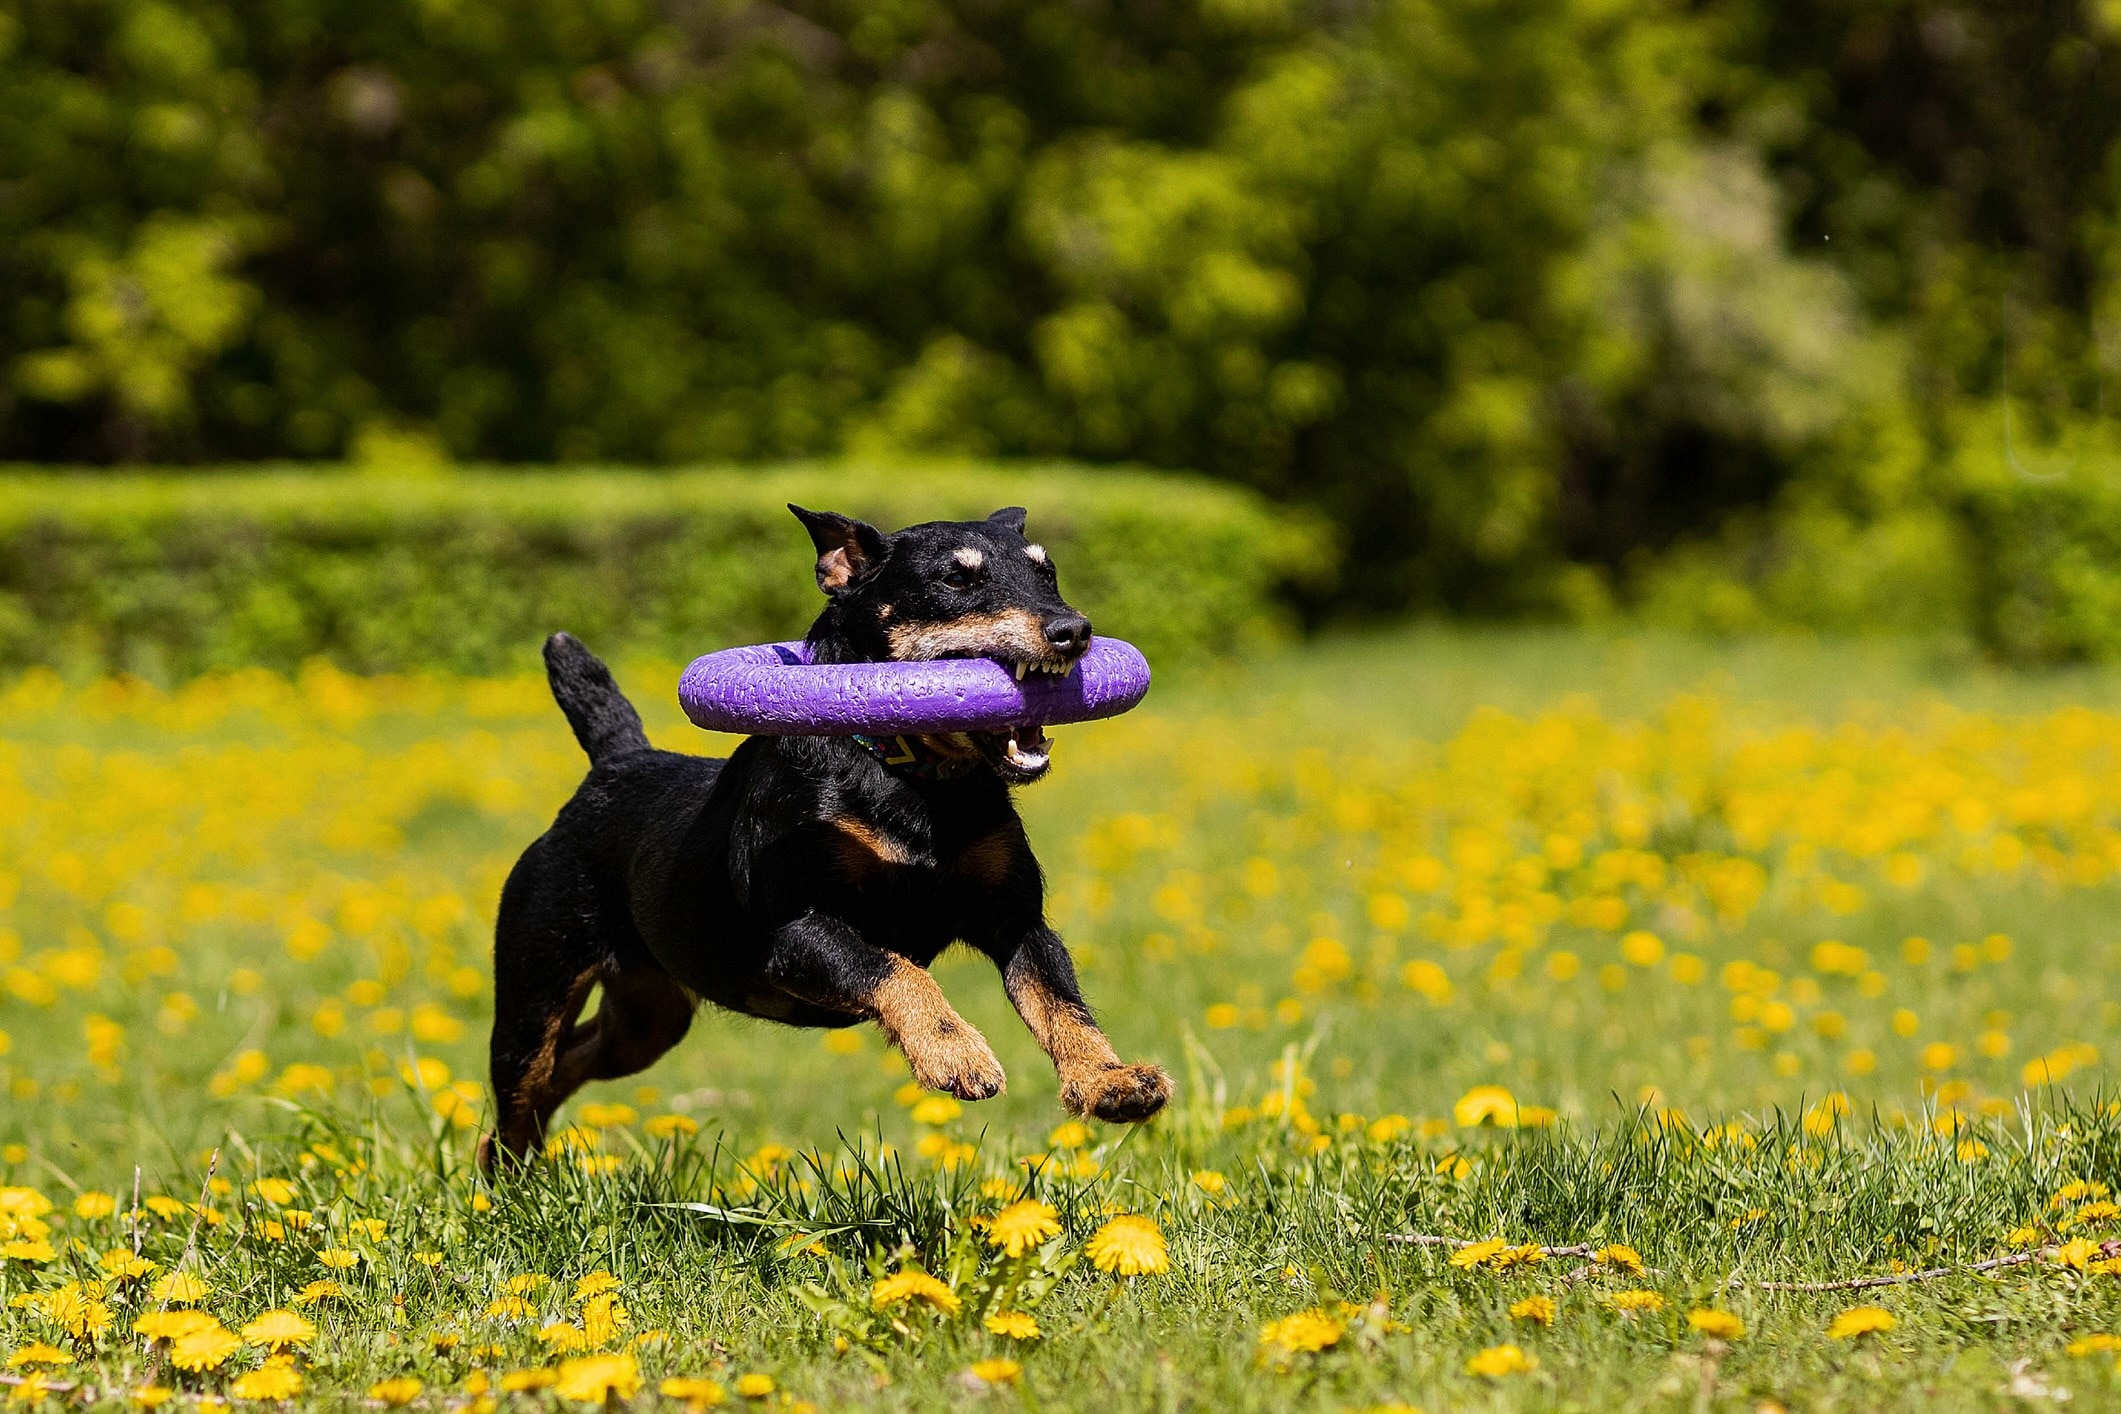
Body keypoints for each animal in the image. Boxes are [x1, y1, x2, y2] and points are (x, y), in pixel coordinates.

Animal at [477, 502, 1179, 1170]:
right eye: (955, 578)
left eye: (1047, 570)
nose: (1074, 631)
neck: (908, 776)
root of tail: (615, 762)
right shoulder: (794, 933)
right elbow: (891, 966)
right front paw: (956, 1054)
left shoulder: (1016, 919)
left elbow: (1058, 999)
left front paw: (1111, 1080)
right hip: (536, 984)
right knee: (525, 1080)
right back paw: (511, 1185)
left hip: (648, 1017)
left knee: (567, 1068)